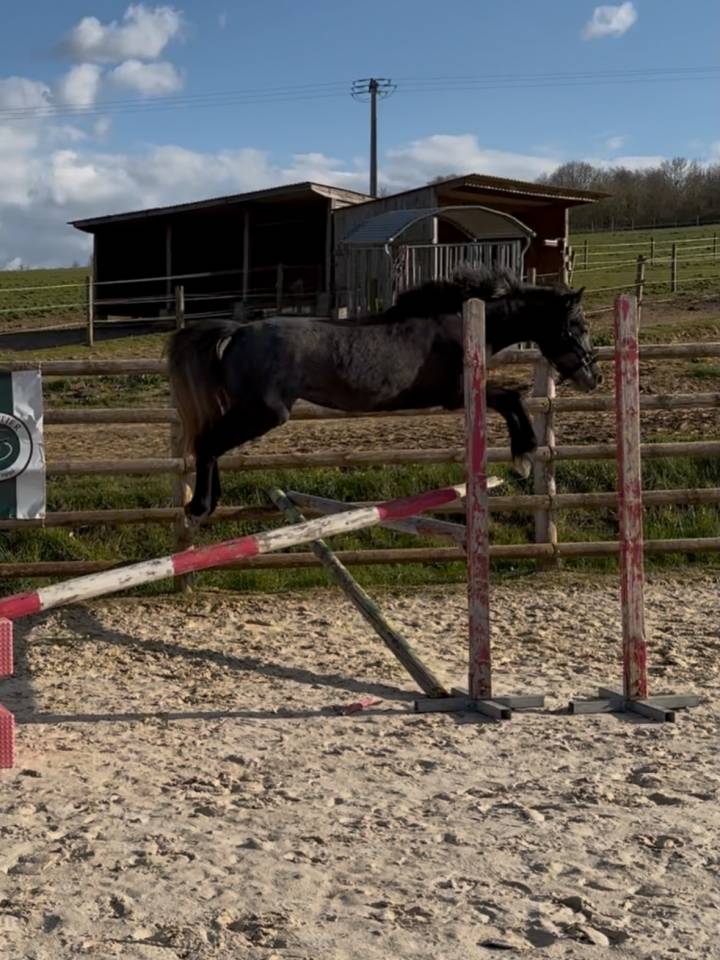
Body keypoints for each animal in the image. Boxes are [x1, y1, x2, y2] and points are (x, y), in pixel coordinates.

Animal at [167, 266, 601, 522]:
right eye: (577, 325)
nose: (592, 376)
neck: (460, 321)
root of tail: (238, 331)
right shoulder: (456, 393)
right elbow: (512, 399)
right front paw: (523, 457)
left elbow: (511, 400)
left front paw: (523, 458)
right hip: (264, 412)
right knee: (207, 443)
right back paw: (198, 507)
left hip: (250, 411)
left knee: (209, 444)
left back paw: (208, 504)